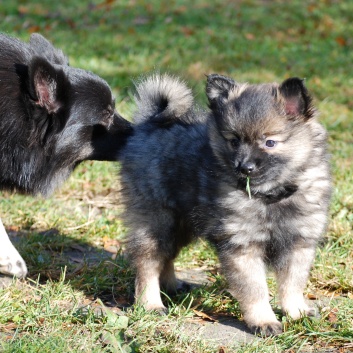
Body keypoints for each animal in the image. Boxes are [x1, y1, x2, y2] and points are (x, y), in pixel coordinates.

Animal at [120, 73, 330, 332]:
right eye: (234, 141)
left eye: (269, 142)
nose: (244, 167)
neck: (270, 197)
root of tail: (150, 123)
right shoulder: (243, 246)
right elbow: (255, 289)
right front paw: (264, 320)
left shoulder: (299, 243)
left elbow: (292, 284)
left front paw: (297, 312)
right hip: (157, 220)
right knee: (147, 261)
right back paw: (150, 303)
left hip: (181, 224)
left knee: (166, 256)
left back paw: (171, 285)